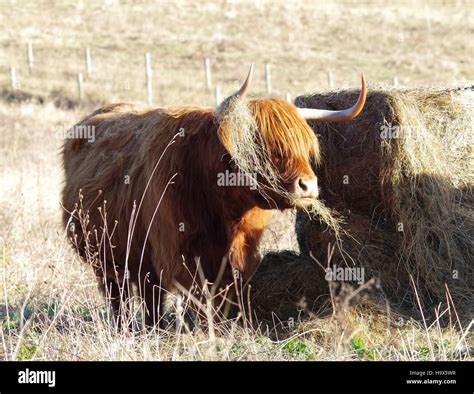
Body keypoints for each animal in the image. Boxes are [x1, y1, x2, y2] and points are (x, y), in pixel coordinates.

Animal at [61, 65, 366, 326]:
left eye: (305, 148)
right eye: (263, 147)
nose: (308, 186)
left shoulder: (237, 257)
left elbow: (223, 299)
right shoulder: (179, 255)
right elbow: (197, 299)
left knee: (149, 295)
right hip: (106, 258)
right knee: (121, 297)